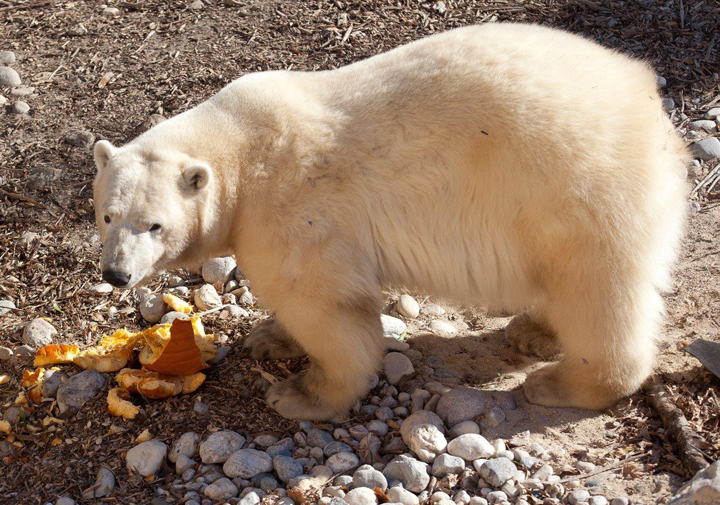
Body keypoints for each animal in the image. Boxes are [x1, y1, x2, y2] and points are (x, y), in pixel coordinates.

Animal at [91, 22, 688, 418]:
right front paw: (270, 338)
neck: (238, 146)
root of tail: (647, 101)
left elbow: (327, 306)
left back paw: (558, 383)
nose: (116, 274)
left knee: (597, 292)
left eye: (155, 225)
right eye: (106, 214)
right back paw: (532, 331)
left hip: (575, 191)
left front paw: (300, 393)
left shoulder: (293, 214)